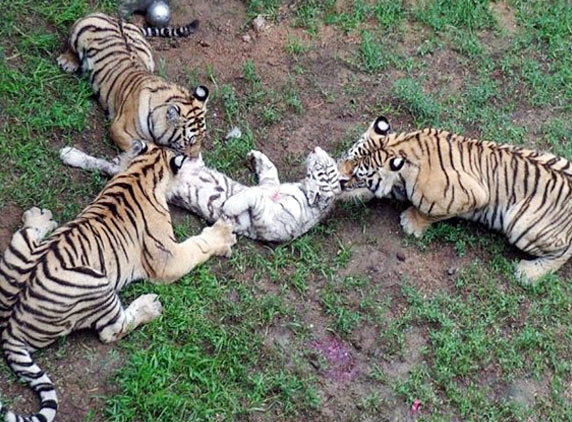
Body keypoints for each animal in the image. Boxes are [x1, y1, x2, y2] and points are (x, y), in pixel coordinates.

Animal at [0, 141, 237, 418]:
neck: (145, 170)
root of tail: (10, 327)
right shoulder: (168, 259)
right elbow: (198, 247)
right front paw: (223, 234)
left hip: (22, 245)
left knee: (28, 232)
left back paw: (38, 218)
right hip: (97, 283)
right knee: (111, 330)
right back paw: (149, 306)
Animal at [57, 13, 209, 158]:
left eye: (202, 139)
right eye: (188, 142)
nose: (195, 158)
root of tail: (116, 19)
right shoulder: (119, 129)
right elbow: (151, 148)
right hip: (79, 29)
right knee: (71, 48)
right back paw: (67, 61)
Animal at [340, 115, 572, 284]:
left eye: (358, 175)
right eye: (348, 158)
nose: (341, 180)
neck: (402, 146)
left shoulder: (471, 196)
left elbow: (426, 213)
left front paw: (411, 223)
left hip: (519, 222)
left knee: (564, 252)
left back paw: (527, 273)